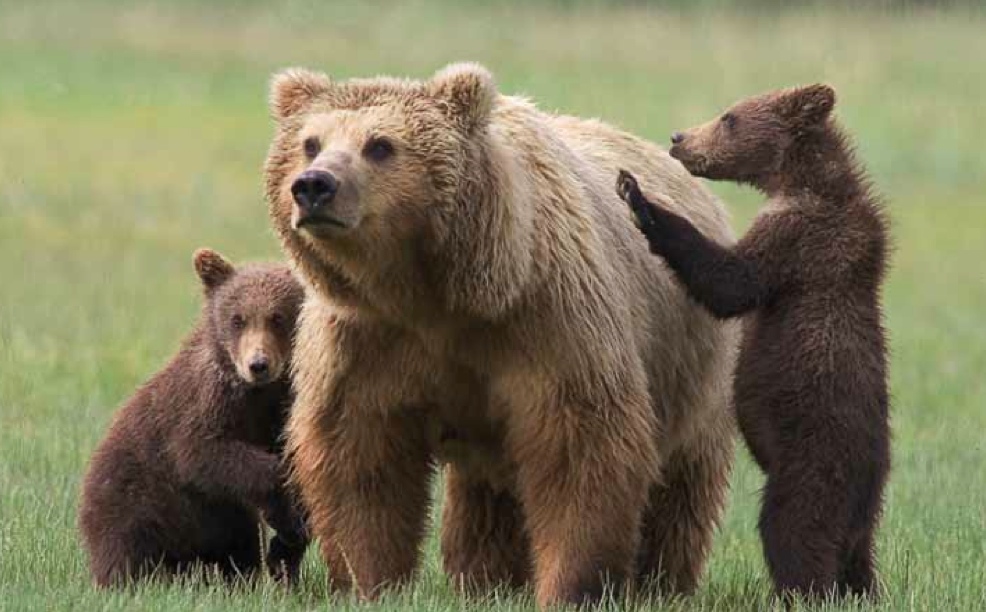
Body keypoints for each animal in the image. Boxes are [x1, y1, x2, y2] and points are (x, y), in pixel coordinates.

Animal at [78, 248, 310, 587]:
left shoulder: (282, 411)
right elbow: (203, 452)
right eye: (237, 319)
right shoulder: (203, 405)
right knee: (127, 549)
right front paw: (285, 512)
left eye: (278, 317)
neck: (256, 394)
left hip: (217, 520)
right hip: (133, 502)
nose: (258, 364)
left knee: (239, 544)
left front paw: (287, 544)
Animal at [263, 63, 738, 608]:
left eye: (380, 145)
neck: (434, 294)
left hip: (694, 369)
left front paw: (570, 585)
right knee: (487, 499)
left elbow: (578, 451)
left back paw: (661, 581)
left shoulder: (548, 320)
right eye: (310, 142)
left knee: (680, 484)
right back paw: (486, 579)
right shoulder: (365, 338)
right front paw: (372, 581)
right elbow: (361, 459)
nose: (314, 186)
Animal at [615, 83, 890, 599]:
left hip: (813, 459)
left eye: (729, 117)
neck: (801, 182)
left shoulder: (798, 240)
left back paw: (797, 592)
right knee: (857, 558)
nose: (679, 138)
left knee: (794, 531)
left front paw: (638, 196)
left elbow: (731, 281)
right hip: (865, 505)